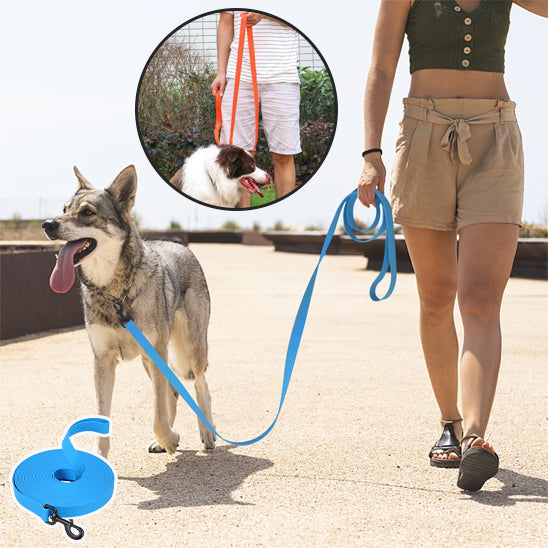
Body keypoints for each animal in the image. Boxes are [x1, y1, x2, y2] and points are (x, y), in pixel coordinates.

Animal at [41, 165, 216, 456]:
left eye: (87, 212)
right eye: (64, 208)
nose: (47, 224)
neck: (114, 293)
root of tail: (181, 246)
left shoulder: (156, 352)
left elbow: (158, 415)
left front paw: (169, 438)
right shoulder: (103, 360)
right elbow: (105, 418)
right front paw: (101, 456)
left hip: (191, 350)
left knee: (201, 386)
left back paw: (207, 434)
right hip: (152, 360)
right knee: (173, 392)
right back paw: (163, 441)